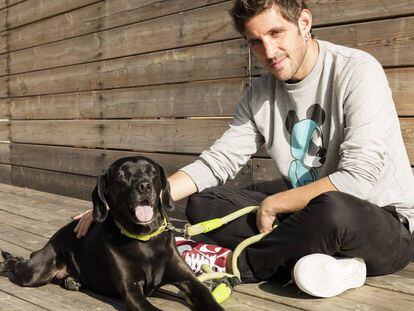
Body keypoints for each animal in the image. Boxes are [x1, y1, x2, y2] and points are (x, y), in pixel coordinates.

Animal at [0, 157, 223, 310]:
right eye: (122, 175)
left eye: (152, 172)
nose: (144, 185)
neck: (145, 240)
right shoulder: (132, 290)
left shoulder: (191, 282)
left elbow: (210, 300)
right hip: (36, 273)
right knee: (18, 264)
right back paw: (7, 262)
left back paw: (72, 281)